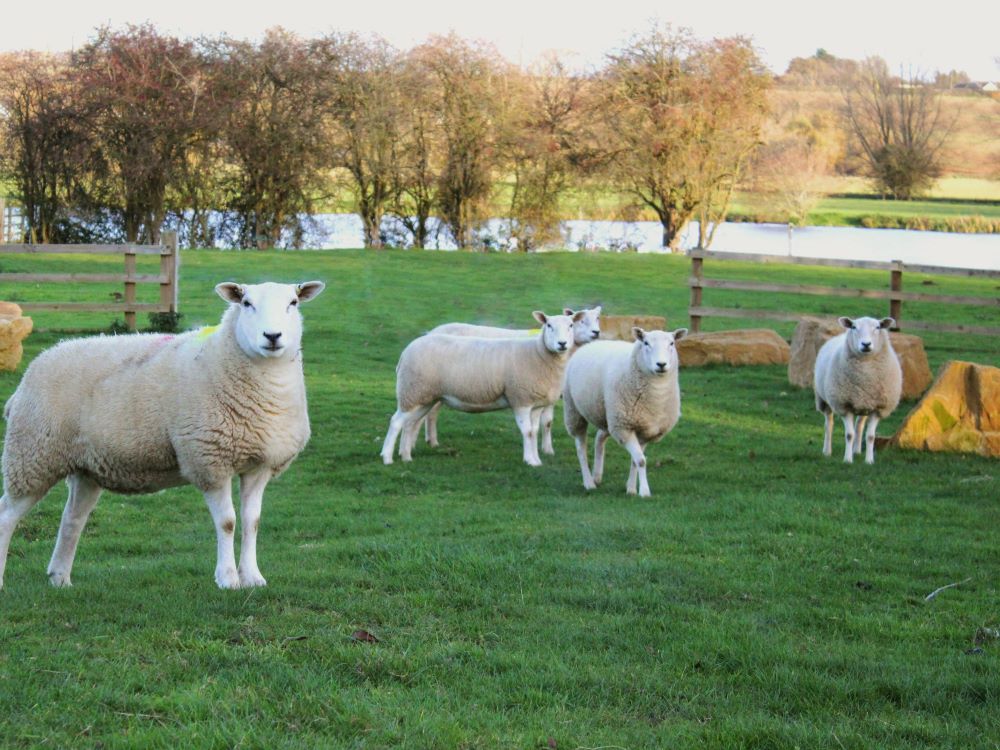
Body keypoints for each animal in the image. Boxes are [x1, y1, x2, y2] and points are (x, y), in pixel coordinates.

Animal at [0, 280, 325, 591]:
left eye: (293, 303)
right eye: (246, 303)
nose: (272, 336)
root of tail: (37, 364)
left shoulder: (260, 465)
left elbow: (252, 521)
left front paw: (253, 577)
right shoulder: (209, 459)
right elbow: (228, 522)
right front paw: (228, 579)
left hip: (85, 467)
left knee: (71, 520)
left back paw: (60, 578)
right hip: (32, 455)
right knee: (6, 516)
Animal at [381, 310, 584, 467]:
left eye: (571, 325)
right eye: (549, 325)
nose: (562, 344)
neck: (538, 354)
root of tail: (406, 351)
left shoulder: (535, 404)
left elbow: (533, 432)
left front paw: (536, 460)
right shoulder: (520, 399)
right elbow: (527, 432)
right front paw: (529, 461)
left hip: (423, 396)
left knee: (409, 424)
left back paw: (406, 456)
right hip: (411, 391)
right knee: (396, 422)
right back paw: (387, 458)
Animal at [422, 306, 602, 453]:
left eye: (597, 319)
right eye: (581, 321)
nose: (596, 332)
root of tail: (431, 331)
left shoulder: (551, 393)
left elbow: (547, 422)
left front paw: (545, 449)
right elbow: (545, 422)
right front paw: (546, 449)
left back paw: (430, 439)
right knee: (431, 412)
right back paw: (433, 441)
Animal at [562, 327, 687, 497]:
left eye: (672, 343)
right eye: (646, 343)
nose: (661, 364)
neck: (656, 395)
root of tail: (592, 343)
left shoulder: (644, 431)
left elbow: (636, 460)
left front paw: (631, 489)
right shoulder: (624, 428)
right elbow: (641, 460)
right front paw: (644, 492)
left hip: (608, 416)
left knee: (599, 438)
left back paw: (597, 476)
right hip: (575, 410)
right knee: (581, 448)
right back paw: (589, 482)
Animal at [813, 316, 902, 464]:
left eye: (878, 327)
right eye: (854, 327)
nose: (866, 344)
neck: (865, 376)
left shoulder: (877, 408)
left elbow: (871, 436)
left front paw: (869, 460)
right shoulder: (844, 405)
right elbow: (849, 434)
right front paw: (848, 459)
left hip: (864, 404)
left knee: (859, 425)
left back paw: (857, 450)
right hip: (824, 400)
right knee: (828, 424)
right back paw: (827, 451)